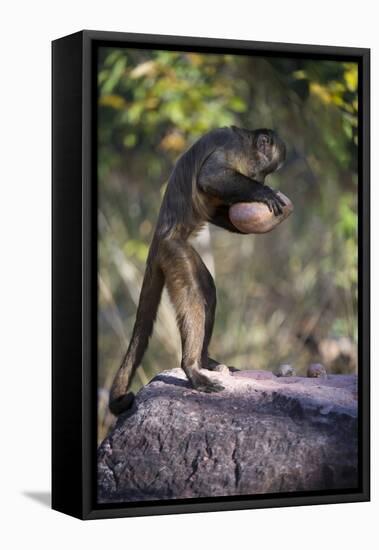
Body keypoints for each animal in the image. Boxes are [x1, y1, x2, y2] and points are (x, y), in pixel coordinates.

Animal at [110, 127, 288, 416]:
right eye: (264, 173)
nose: (261, 180)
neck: (246, 143)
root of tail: (158, 237)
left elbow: (216, 209)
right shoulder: (233, 147)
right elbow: (209, 178)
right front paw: (264, 193)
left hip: (180, 251)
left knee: (208, 291)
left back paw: (204, 360)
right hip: (173, 251)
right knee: (193, 296)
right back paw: (192, 369)